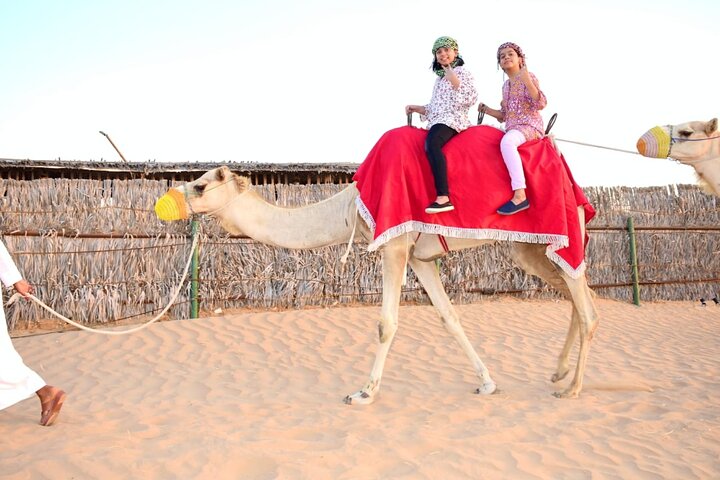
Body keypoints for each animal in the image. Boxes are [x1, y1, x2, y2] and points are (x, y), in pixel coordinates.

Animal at [155, 166, 599, 402]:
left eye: (200, 185)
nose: (165, 201)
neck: (349, 208)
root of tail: (579, 191)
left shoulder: (394, 245)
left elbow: (387, 323)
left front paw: (364, 392)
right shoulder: (420, 257)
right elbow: (450, 317)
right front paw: (487, 382)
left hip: (559, 234)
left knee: (587, 306)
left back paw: (574, 388)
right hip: (531, 250)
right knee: (581, 295)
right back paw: (559, 373)